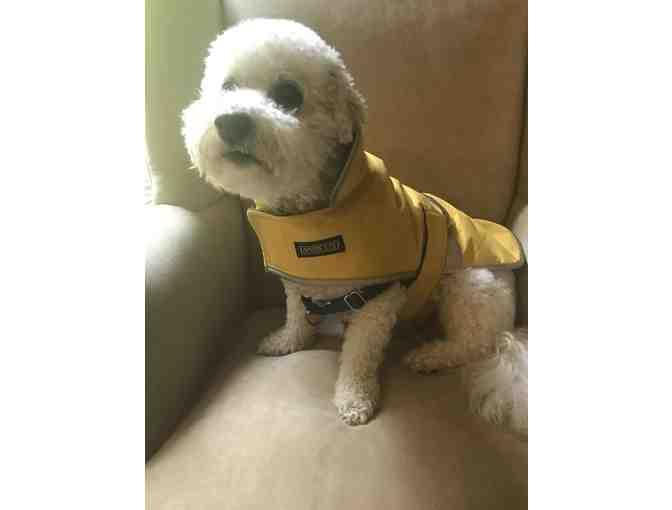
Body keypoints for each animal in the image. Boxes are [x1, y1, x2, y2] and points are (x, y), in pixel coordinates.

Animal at [182, 18, 528, 433]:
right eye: (228, 87)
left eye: (288, 95)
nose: (230, 121)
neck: (309, 215)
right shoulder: (295, 280)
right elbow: (295, 313)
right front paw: (289, 340)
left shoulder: (377, 300)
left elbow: (358, 357)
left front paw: (353, 398)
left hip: (470, 284)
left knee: (474, 344)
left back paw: (431, 355)